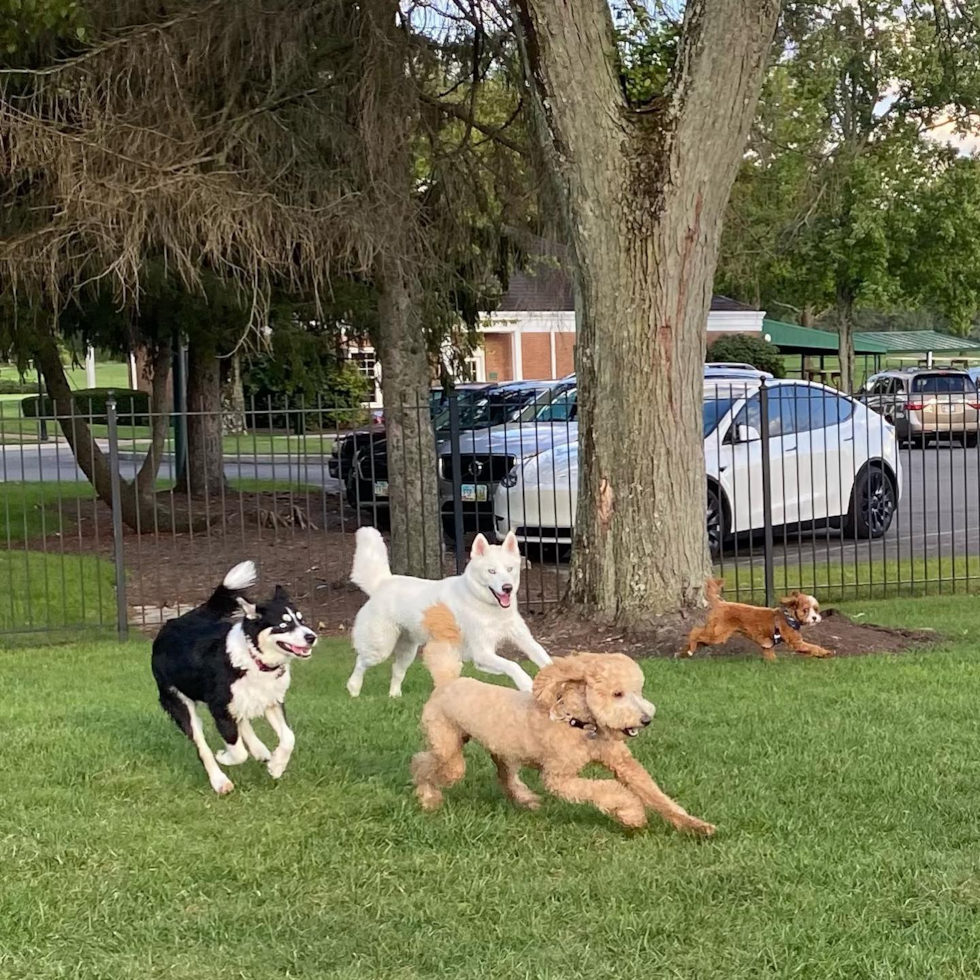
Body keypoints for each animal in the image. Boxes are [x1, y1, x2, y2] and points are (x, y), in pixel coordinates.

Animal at [348, 528, 552, 696]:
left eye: (510, 569)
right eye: (491, 571)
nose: (507, 588)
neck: (486, 606)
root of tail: (382, 582)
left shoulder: (523, 640)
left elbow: (544, 658)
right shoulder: (482, 653)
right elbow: (513, 664)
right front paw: (526, 683)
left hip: (408, 650)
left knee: (396, 670)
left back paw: (394, 696)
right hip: (379, 649)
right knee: (360, 661)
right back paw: (354, 689)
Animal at [410, 604, 716, 836]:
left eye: (639, 690)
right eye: (618, 693)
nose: (645, 719)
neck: (580, 725)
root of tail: (446, 681)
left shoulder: (622, 763)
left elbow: (655, 794)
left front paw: (696, 826)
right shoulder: (559, 777)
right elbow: (606, 789)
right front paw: (631, 814)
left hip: (501, 749)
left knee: (504, 775)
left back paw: (525, 799)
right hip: (447, 746)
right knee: (424, 764)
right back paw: (427, 797)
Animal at [680, 580, 836, 664]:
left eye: (816, 609)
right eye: (805, 610)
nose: (815, 618)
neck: (789, 616)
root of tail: (720, 603)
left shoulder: (767, 645)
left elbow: (770, 654)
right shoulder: (796, 642)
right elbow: (813, 647)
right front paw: (826, 653)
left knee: (699, 637)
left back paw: (684, 652)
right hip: (718, 634)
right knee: (695, 632)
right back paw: (689, 649)